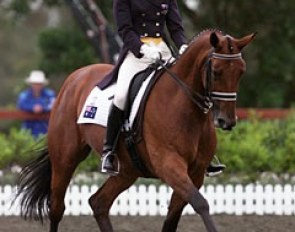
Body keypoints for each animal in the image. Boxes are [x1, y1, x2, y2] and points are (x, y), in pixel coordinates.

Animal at [16, 29, 256, 232]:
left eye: (241, 72)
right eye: (216, 72)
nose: (227, 121)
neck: (185, 108)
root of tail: (76, 76)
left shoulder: (195, 172)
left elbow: (173, 216)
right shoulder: (169, 165)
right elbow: (201, 203)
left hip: (127, 170)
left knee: (99, 202)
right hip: (65, 159)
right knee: (57, 207)